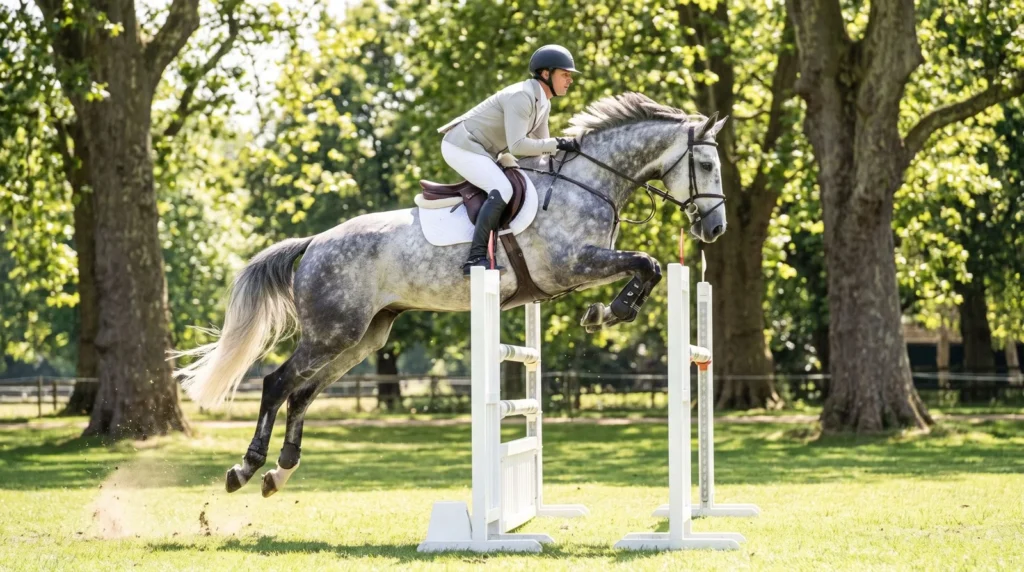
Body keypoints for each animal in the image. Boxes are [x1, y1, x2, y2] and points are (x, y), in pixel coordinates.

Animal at [172, 92, 729, 497]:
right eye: (705, 166)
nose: (716, 229)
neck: (587, 182)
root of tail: (315, 242)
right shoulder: (571, 265)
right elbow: (647, 263)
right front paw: (609, 311)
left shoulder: (579, 269)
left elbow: (645, 267)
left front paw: (605, 312)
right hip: (332, 332)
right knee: (276, 384)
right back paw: (245, 469)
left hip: (363, 338)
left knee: (302, 393)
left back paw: (279, 472)